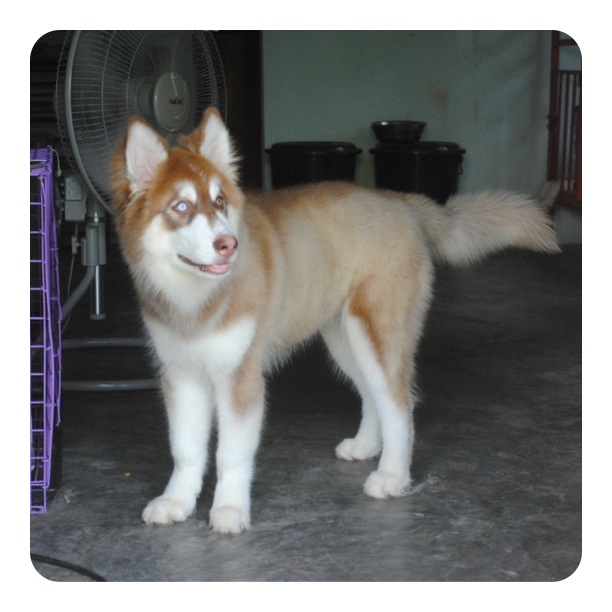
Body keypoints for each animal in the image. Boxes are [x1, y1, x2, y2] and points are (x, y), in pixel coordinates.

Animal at [111, 107, 559, 534]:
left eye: (220, 202)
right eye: (181, 207)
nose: (229, 244)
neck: (196, 300)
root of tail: (400, 199)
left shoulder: (241, 376)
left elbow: (231, 454)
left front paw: (229, 509)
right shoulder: (180, 372)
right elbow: (185, 449)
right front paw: (177, 501)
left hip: (377, 331)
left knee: (400, 403)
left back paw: (392, 476)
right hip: (345, 338)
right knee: (373, 394)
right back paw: (366, 446)